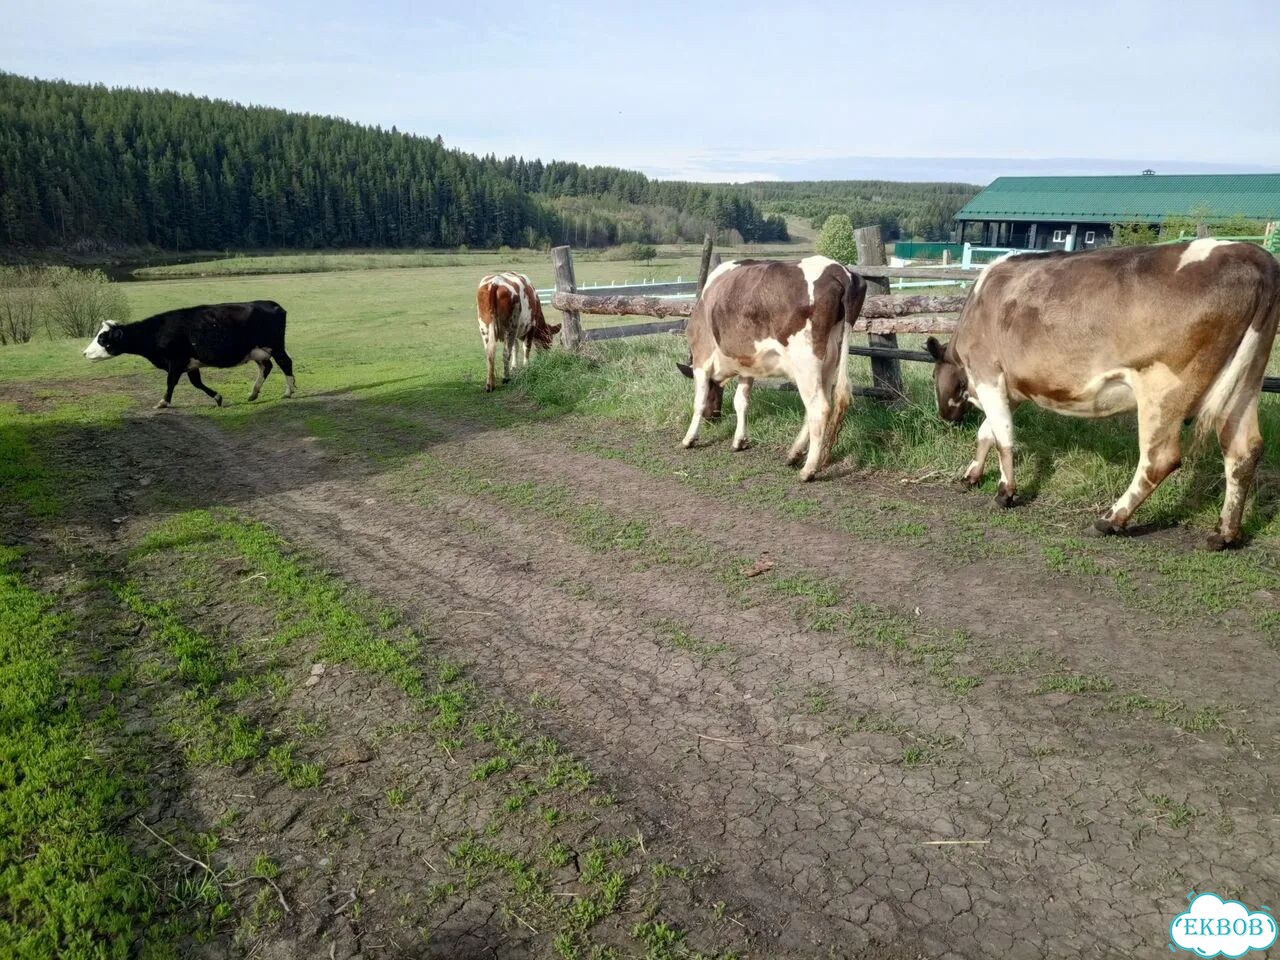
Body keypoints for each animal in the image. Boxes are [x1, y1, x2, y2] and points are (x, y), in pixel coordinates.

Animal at [82, 300, 296, 409]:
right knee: (267, 367)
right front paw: (217, 398)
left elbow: (171, 382)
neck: (156, 331)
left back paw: (289, 391)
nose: (84, 353)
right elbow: (197, 383)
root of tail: (272, 304)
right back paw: (253, 393)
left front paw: (163, 402)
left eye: (102, 339)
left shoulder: (176, 361)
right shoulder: (191, 364)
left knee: (285, 363)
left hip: (275, 346)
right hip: (258, 352)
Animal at [677, 256, 868, 481]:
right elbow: (741, 402)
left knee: (819, 408)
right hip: (830, 359)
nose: (711, 417)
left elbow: (698, 402)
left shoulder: (702, 358)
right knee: (822, 404)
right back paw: (794, 454)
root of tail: (837, 269)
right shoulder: (747, 365)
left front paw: (689, 438)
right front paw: (739, 440)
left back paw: (808, 469)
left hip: (806, 362)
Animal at [925, 239, 1280, 549]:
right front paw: (972, 475)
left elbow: (1002, 436)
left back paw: (1110, 520)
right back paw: (1225, 534)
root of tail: (1252, 253)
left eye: (932, 376)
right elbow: (988, 431)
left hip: (1163, 389)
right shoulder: (1010, 389)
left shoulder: (988, 373)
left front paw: (1005, 493)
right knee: (1243, 451)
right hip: (1245, 384)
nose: (945, 415)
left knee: (1159, 459)